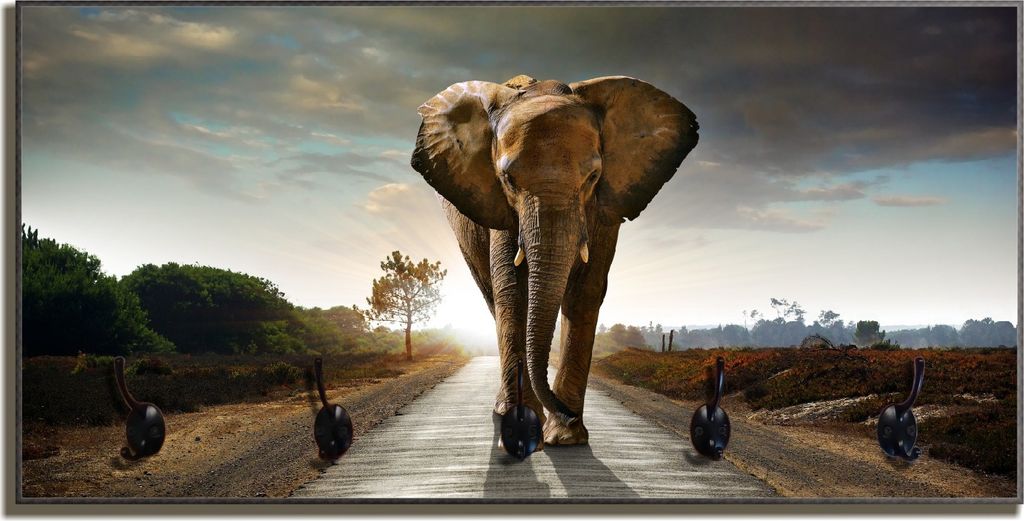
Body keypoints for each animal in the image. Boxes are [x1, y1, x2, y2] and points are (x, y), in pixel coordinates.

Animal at [410, 74, 698, 446]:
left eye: (593, 177)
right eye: (508, 179)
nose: (565, 412)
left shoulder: (604, 209)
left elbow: (585, 292)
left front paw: (565, 437)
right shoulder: (501, 209)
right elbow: (513, 293)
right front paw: (521, 426)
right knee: (492, 297)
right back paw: (504, 409)